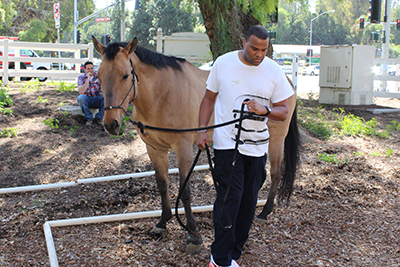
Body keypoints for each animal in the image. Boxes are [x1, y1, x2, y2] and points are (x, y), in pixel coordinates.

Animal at [93, 36, 300, 254]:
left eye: (125, 75)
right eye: (98, 76)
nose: (111, 124)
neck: (162, 94)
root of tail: (287, 82)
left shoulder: (183, 148)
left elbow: (185, 192)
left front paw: (193, 233)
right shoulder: (155, 149)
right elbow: (162, 185)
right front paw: (162, 223)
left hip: (276, 138)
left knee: (275, 172)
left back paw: (264, 212)